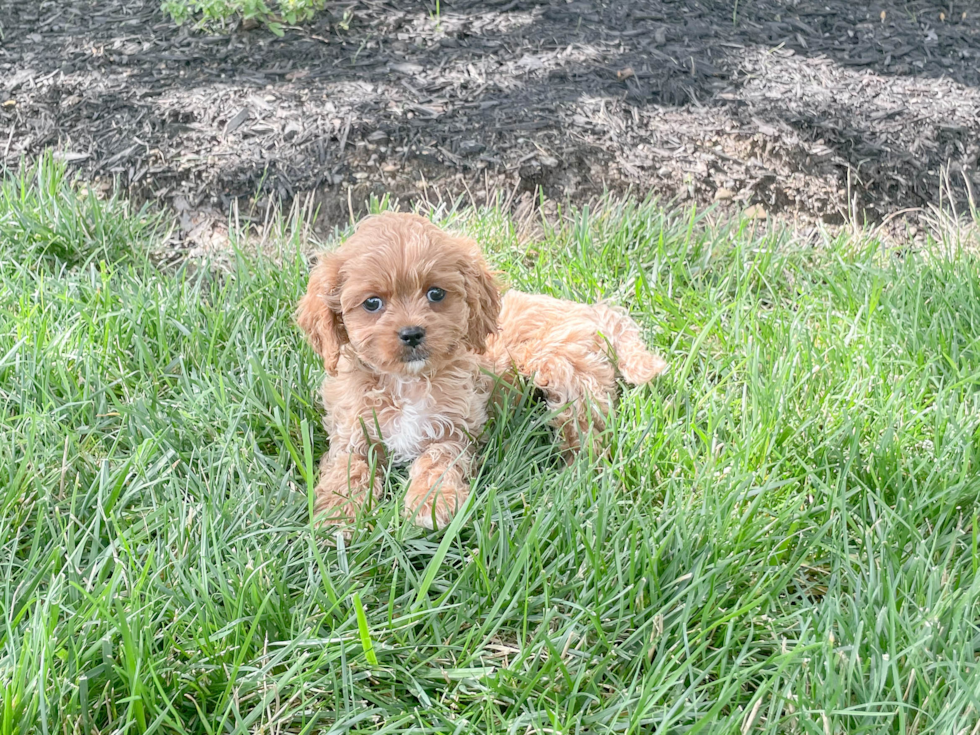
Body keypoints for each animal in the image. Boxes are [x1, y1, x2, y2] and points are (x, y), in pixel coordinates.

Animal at [296, 211, 668, 528]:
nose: (412, 333)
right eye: (372, 303)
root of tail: (591, 310)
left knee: (587, 433)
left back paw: (575, 482)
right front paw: (338, 515)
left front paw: (433, 504)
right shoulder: (351, 432)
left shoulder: (455, 430)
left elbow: (438, 462)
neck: (407, 382)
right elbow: (347, 468)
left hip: (565, 369)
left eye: (435, 293)